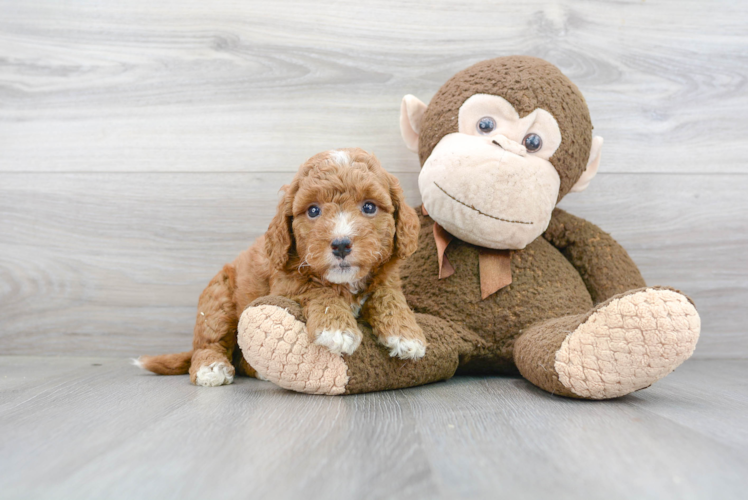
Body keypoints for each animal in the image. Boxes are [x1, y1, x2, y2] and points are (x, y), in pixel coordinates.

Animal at [136, 148, 426, 386]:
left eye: (368, 206)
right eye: (313, 211)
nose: (341, 244)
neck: (345, 282)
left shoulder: (386, 279)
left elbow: (388, 297)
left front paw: (406, 334)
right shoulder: (286, 284)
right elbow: (318, 290)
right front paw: (335, 327)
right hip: (217, 302)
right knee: (210, 342)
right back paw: (211, 368)